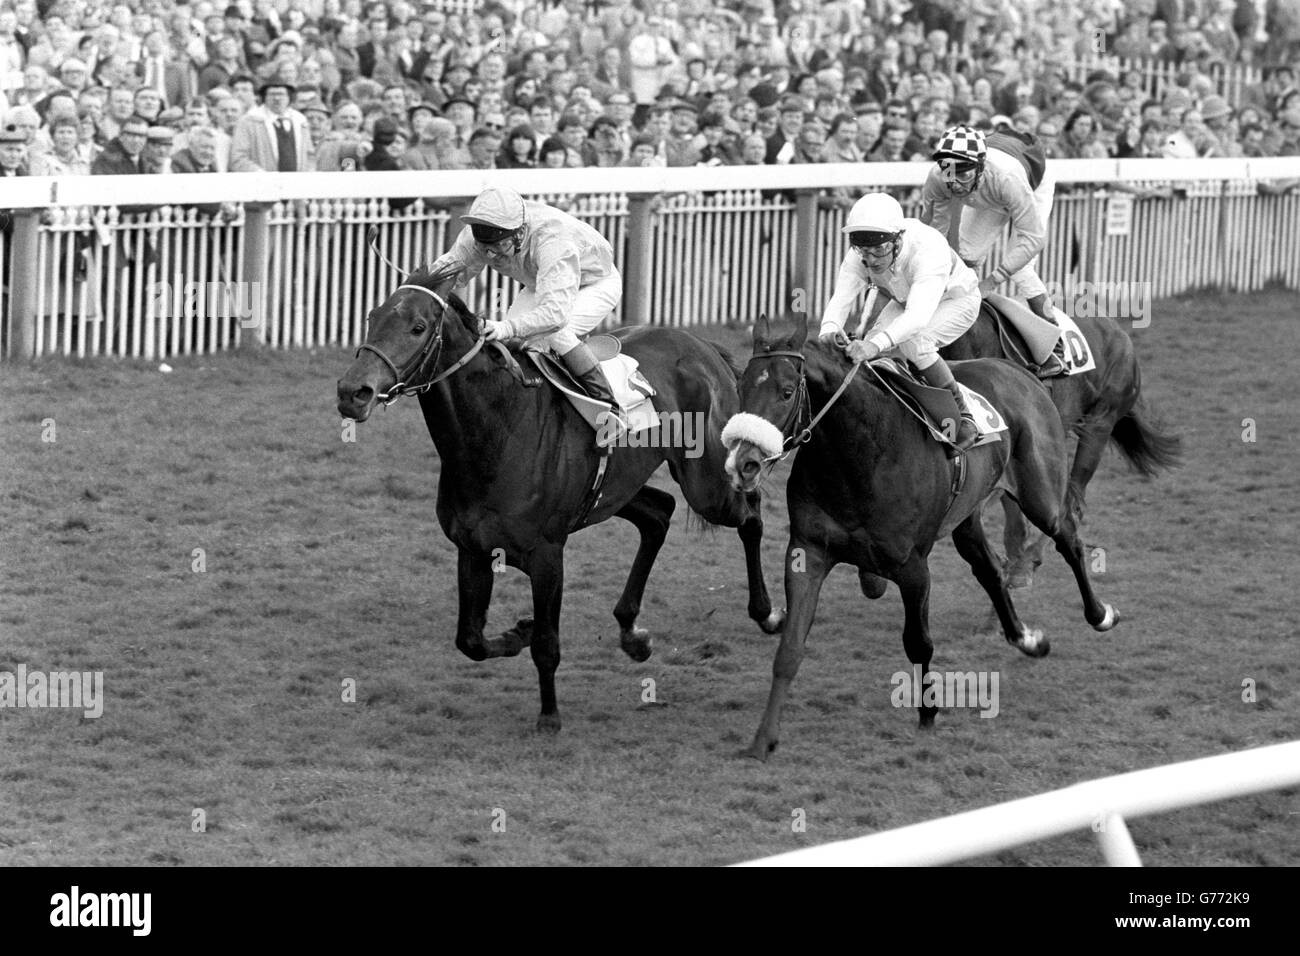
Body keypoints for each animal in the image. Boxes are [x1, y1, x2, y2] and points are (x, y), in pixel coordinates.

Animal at [335, 269, 780, 733]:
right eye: (372, 317)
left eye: (418, 327)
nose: (352, 392)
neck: (499, 432)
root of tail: (701, 345)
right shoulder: (473, 549)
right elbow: (470, 640)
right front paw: (518, 632)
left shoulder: (547, 555)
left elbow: (547, 645)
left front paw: (549, 715)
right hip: (616, 489)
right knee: (659, 513)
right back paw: (632, 633)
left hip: (707, 484)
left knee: (749, 515)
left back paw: (767, 613)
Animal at [722, 314, 1118, 764]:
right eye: (741, 387)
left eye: (787, 391)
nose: (742, 463)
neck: (861, 451)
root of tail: (1021, 373)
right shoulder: (808, 551)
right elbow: (789, 648)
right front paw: (763, 739)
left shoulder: (912, 568)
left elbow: (918, 643)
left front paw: (928, 714)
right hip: (967, 515)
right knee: (990, 570)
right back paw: (1026, 638)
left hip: (1041, 494)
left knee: (1068, 539)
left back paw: (1099, 614)